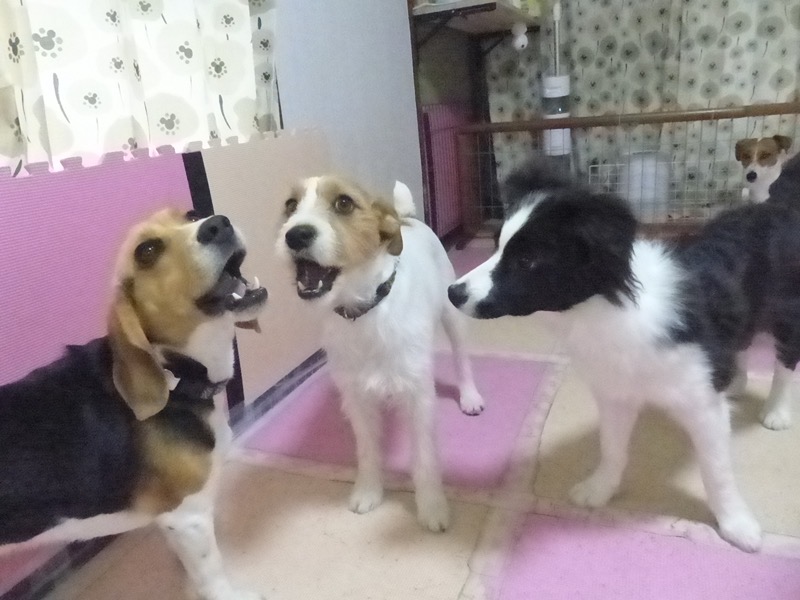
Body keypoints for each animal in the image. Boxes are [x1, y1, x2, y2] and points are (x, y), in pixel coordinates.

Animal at [0, 209, 267, 599]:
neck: (176, 378)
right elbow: (212, 573)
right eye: (147, 251)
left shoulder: (174, 522)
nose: (217, 223)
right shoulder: (188, 517)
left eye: (191, 215)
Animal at [276, 175, 484, 532]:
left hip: (452, 315)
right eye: (291, 205)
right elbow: (368, 451)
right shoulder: (357, 400)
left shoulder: (418, 398)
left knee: (462, 359)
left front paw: (432, 506)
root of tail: (409, 217)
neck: (365, 311)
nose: (296, 234)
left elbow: (425, 458)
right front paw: (369, 491)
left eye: (344, 203)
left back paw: (470, 395)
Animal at [447, 159, 800, 552]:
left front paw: (737, 524)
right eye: (495, 246)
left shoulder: (703, 405)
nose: (453, 293)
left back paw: (776, 411)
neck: (600, 310)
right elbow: (612, 449)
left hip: (787, 312)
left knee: (786, 361)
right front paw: (599, 490)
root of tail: (778, 205)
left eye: (527, 260)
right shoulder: (616, 394)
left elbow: (717, 471)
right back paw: (734, 380)